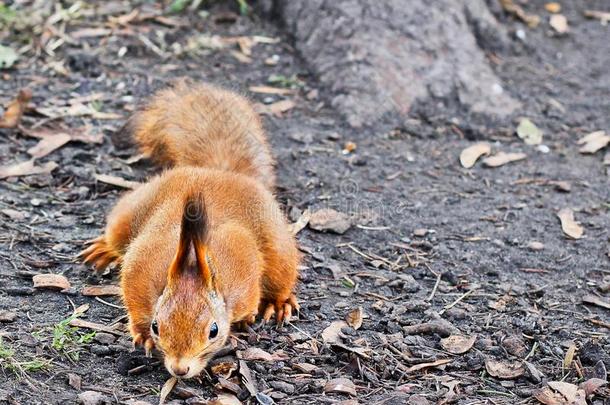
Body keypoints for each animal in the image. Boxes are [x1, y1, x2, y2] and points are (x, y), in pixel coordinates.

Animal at [81, 80, 300, 378]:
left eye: (214, 331)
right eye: (157, 326)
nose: (179, 368)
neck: (193, 258)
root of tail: (218, 171)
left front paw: (247, 320)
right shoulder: (140, 272)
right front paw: (142, 335)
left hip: (277, 246)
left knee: (280, 276)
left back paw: (279, 303)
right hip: (133, 211)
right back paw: (105, 250)